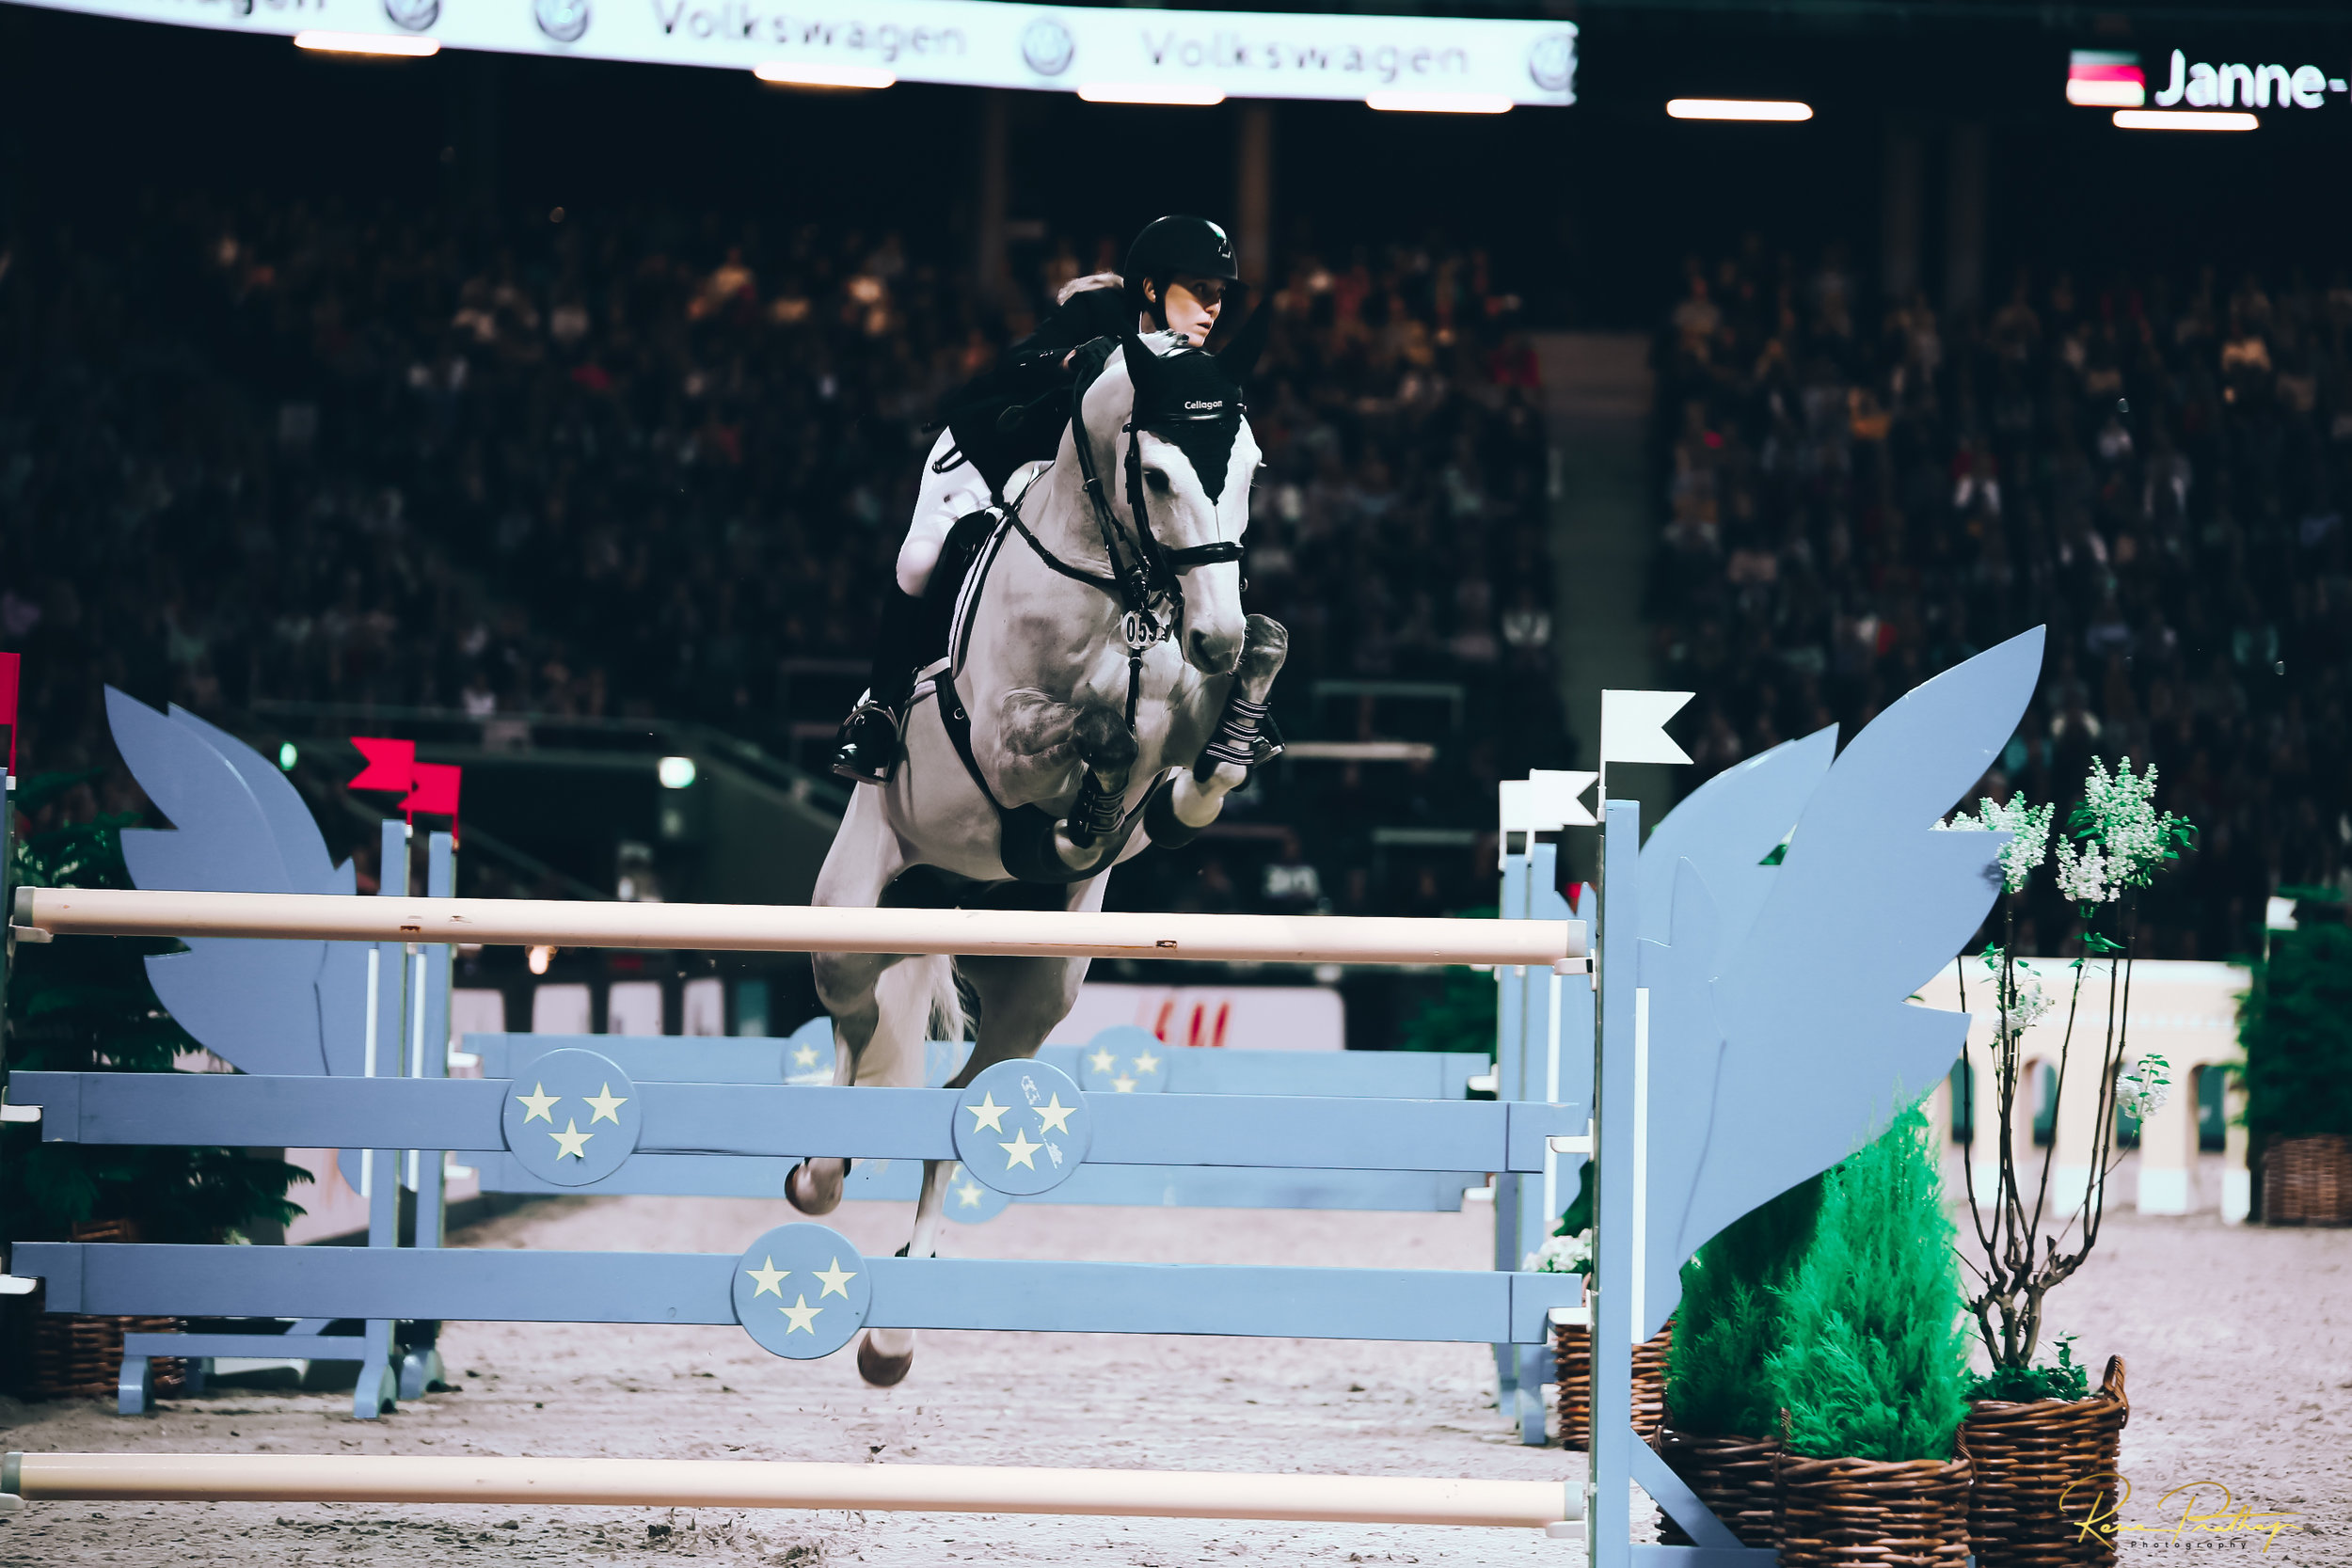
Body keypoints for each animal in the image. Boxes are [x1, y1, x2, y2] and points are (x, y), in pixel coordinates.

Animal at [795, 326, 1288, 1387]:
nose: (1216, 634)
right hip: (850, 924)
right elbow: (1078, 732)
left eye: (1251, 469)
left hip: (1038, 991)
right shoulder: (1004, 738)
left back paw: (894, 1334)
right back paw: (818, 1175)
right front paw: (1085, 792)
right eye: (1156, 472)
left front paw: (1220, 726)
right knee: (856, 1024)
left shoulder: (1179, 732)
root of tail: (943, 903)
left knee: (951, 1109)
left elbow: (1187, 776)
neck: (1122, 596)